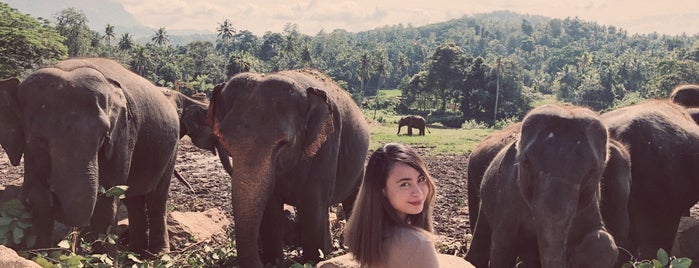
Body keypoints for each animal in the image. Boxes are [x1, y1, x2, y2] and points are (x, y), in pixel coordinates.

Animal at [0, 58, 180, 255]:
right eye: (39, 139)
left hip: (172, 148)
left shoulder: (122, 136)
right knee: (134, 199)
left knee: (157, 198)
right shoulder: (30, 151)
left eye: (103, 135)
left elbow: (107, 199)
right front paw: (43, 255)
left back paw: (158, 253)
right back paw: (136, 251)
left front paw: (101, 257)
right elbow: (37, 192)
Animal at [208, 69, 372, 268]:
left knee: (351, 201)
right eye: (223, 140)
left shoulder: (327, 144)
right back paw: (329, 250)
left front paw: (313, 261)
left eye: (282, 144)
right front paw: (274, 262)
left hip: (360, 167)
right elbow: (271, 207)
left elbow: (311, 204)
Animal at [464, 104, 628, 268]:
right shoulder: (508, 192)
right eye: (526, 162)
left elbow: (603, 244)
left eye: (592, 171)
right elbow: (502, 247)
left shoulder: (590, 202)